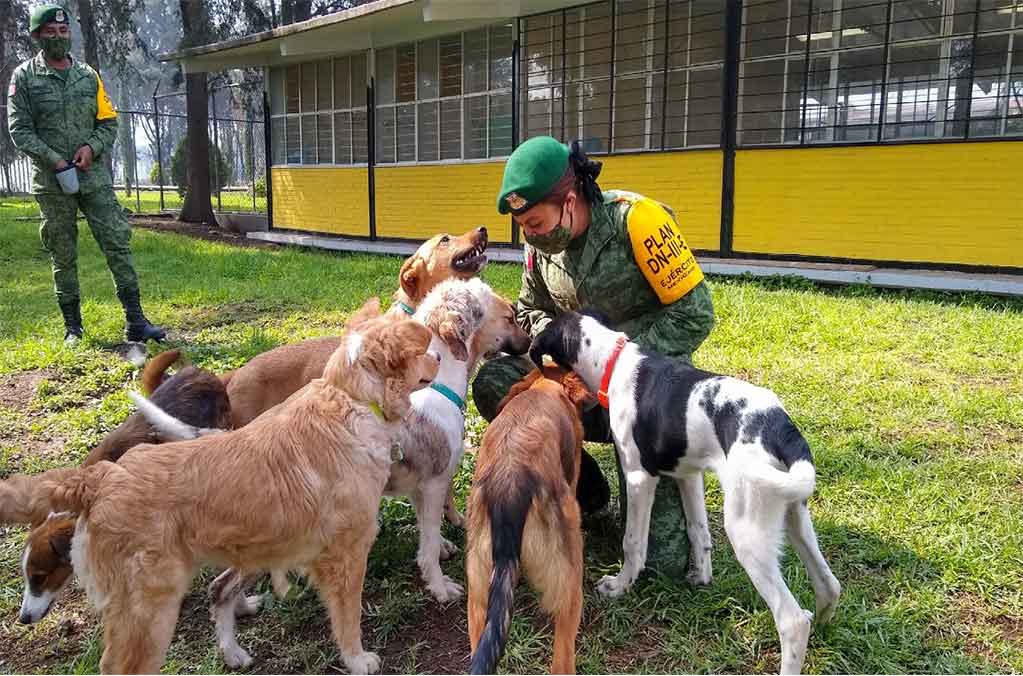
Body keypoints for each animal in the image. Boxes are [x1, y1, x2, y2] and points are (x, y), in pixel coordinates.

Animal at [32, 308, 435, 670]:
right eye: (422, 350)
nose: (440, 358)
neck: (350, 399)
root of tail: (96, 483)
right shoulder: (345, 556)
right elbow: (347, 619)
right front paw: (357, 660)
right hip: (149, 617)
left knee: (219, 592)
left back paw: (233, 649)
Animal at [527, 310, 838, 674]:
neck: (614, 362)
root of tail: (781, 426)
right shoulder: (689, 475)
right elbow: (698, 530)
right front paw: (701, 578)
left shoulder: (639, 477)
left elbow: (633, 542)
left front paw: (620, 586)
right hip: (795, 514)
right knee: (829, 585)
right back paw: (824, 632)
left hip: (747, 530)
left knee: (793, 620)